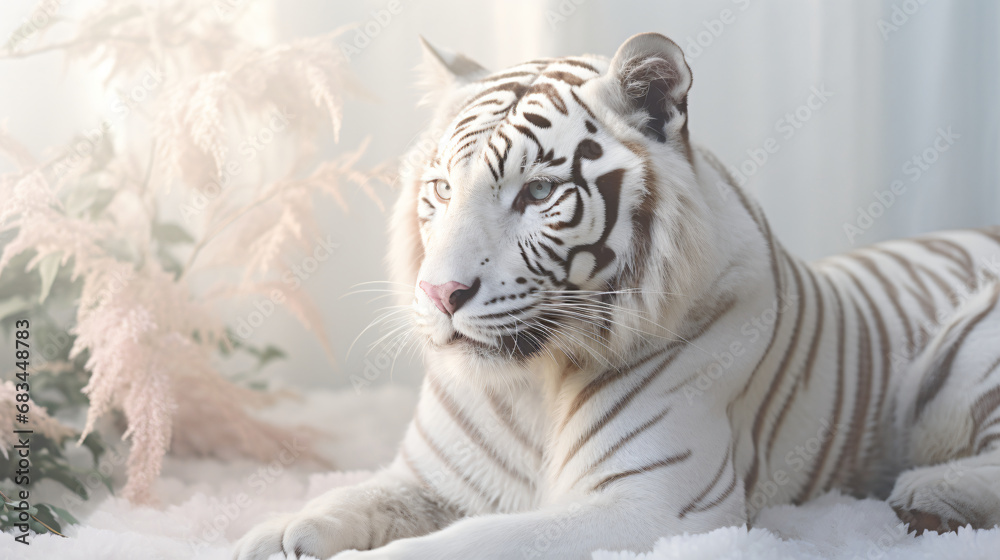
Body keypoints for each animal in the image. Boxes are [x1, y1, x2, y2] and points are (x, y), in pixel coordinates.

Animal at [234, 32, 1000, 559]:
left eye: (538, 192)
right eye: (442, 189)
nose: (441, 292)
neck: (530, 386)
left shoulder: (652, 506)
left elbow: (462, 544)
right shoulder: (431, 480)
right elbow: (345, 498)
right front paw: (269, 534)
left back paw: (929, 498)